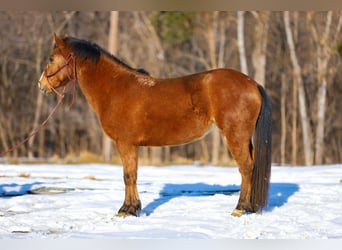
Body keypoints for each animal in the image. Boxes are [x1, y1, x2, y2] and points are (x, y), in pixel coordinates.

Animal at [38, 34, 272, 218]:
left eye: (51, 58)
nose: (41, 85)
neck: (115, 88)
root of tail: (252, 84)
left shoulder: (125, 143)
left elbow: (128, 176)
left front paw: (126, 210)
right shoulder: (131, 145)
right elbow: (132, 174)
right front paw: (134, 208)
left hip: (235, 136)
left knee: (246, 168)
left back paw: (240, 207)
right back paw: (250, 206)